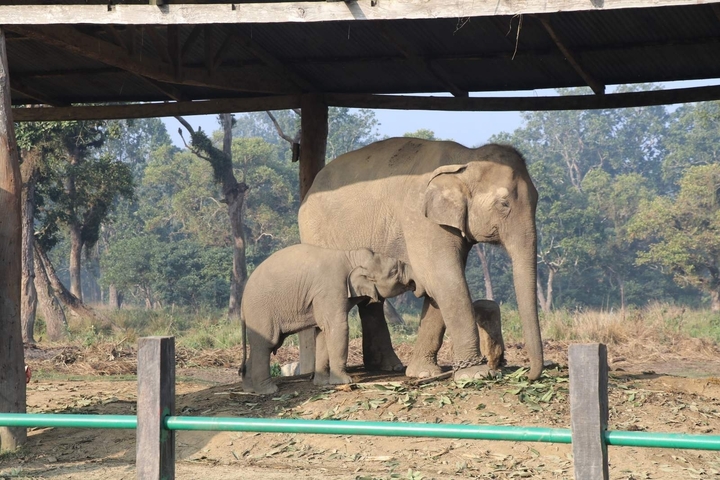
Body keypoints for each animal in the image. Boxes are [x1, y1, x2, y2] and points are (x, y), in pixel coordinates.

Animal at [239, 243, 424, 394]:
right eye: (394, 272)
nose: (417, 290)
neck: (351, 256)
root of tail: (242, 301)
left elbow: (323, 332)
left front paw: (322, 383)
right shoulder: (331, 289)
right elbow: (338, 328)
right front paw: (344, 381)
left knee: (262, 345)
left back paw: (249, 389)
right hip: (261, 312)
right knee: (266, 344)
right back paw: (269, 390)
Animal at [299, 138, 542, 380]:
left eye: (537, 200)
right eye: (504, 204)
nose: (527, 374)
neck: (465, 158)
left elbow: (440, 285)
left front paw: (422, 373)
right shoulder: (420, 218)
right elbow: (444, 279)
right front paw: (475, 374)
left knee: (371, 299)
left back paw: (387, 367)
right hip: (317, 233)